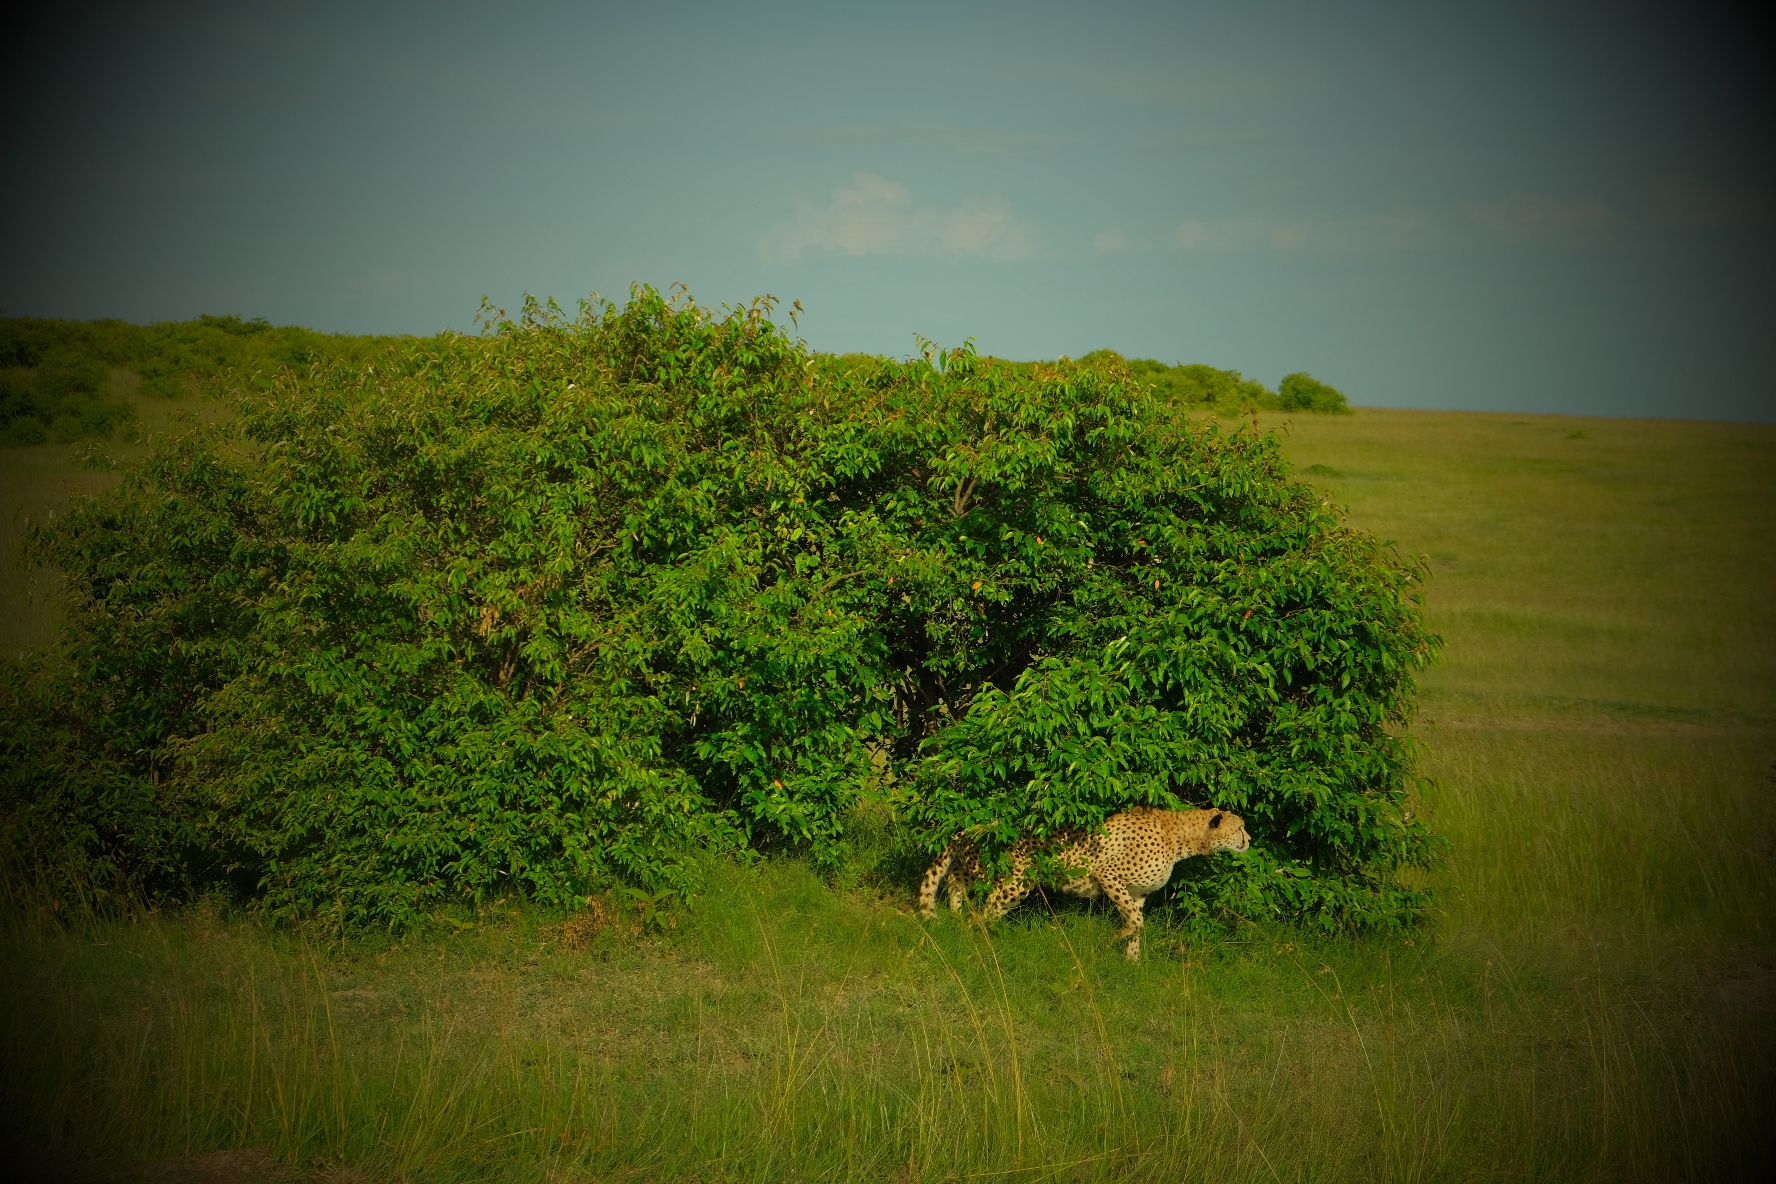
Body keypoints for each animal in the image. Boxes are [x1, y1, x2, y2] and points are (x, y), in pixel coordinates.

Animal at [916, 805, 1250, 965]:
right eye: (1240, 828)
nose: (1249, 841)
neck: (1180, 838)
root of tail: (982, 825)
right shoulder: (1108, 874)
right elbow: (1135, 920)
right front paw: (1119, 938)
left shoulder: (1137, 893)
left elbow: (1138, 921)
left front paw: (1132, 959)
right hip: (1015, 881)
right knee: (982, 903)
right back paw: (984, 937)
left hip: (987, 873)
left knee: (958, 881)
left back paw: (959, 917)